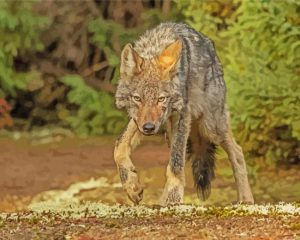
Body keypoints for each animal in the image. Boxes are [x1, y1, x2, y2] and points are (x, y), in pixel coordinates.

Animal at [113, 22, 254, 205]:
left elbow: (176, 164)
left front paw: (173, 199)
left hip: (210, 128)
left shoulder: (182, 115)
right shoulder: (140, 121)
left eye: (161, 99)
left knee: (237, 152)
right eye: (137, 98)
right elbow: (119, 146)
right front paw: (132, 186)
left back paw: (246, 199)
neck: (155, 46)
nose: (149, 128)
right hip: (173, 132)